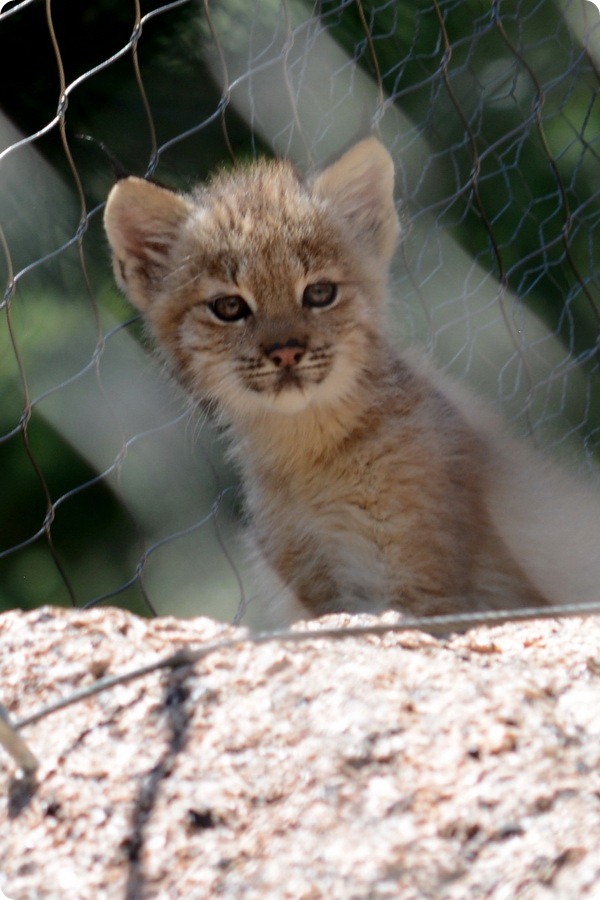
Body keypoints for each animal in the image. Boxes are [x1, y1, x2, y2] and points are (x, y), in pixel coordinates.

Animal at [105, 139, 596, 620]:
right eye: (229, 307)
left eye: (320, 293)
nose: (286, 352)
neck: (304, 444)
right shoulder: (314, 584)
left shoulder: (414, 580)